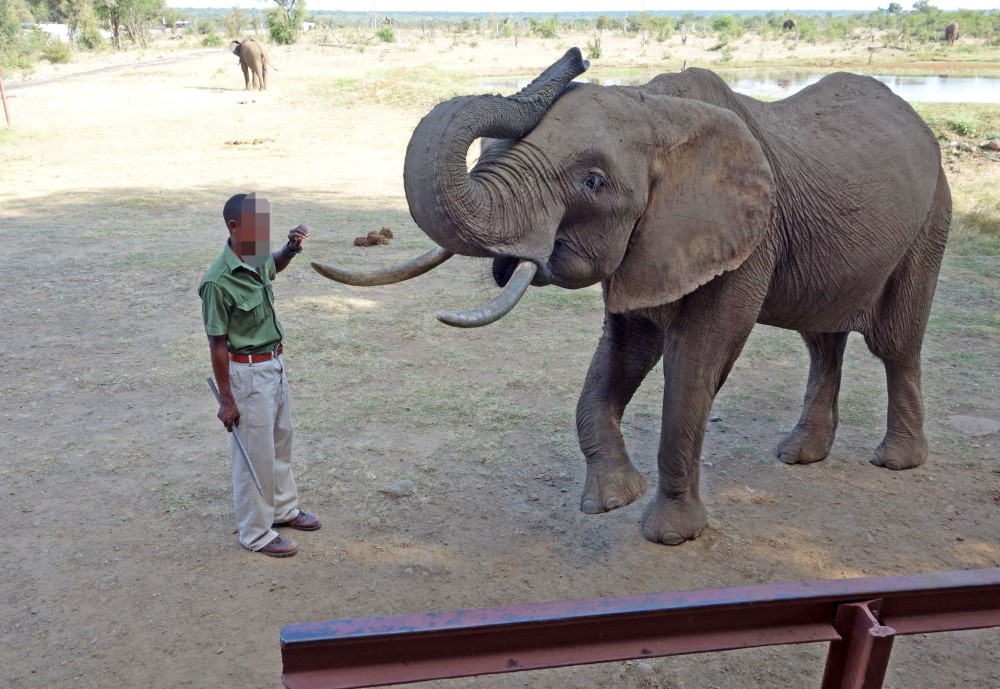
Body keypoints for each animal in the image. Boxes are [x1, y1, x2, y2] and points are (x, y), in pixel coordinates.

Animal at [312, 49, 951, 545]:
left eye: (592, 182)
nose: (578, 56)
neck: (655, 109)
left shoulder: (749, 235)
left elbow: (697, 358)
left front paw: (671, 534)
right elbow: (624, 349)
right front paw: (611, 501)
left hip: (930, 221)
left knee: (894, 343)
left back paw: (895, 461)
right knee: (821, 339)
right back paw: (798, 456)